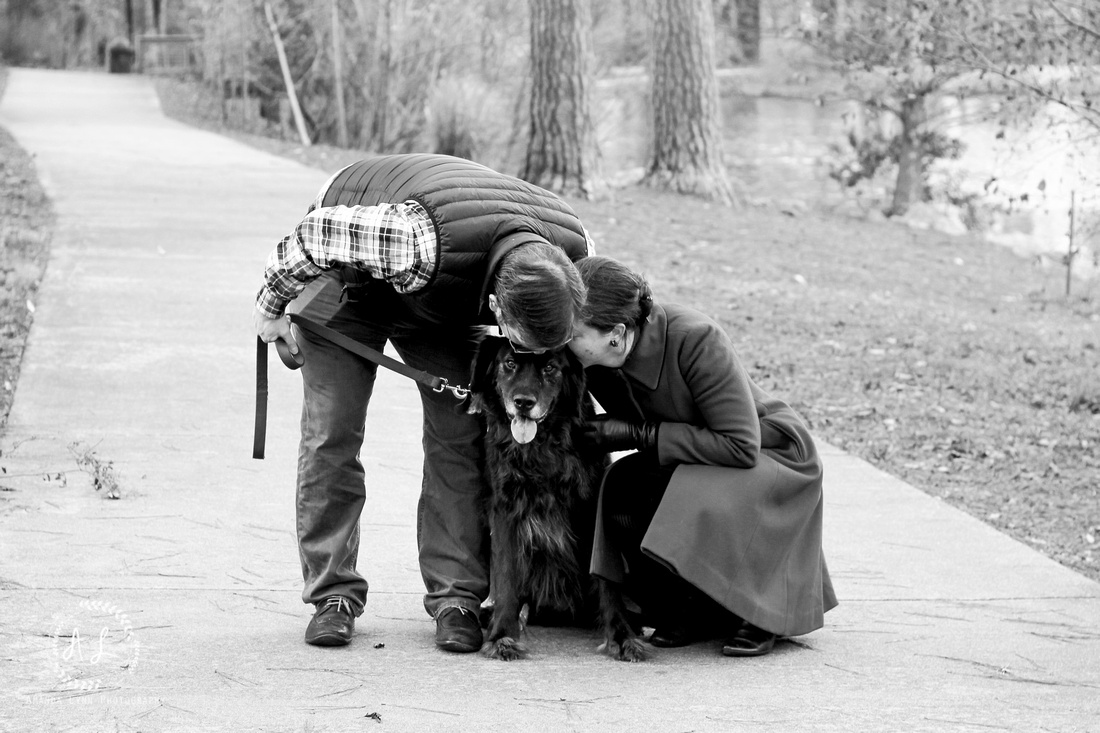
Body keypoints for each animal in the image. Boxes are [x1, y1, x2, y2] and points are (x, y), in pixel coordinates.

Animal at [464, 336, 602, 660]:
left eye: (551, 367)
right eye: (509, 363)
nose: (523, 402)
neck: (540, 448)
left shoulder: (588, 504)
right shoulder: (504, 510)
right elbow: (506, 576)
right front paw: (502, 635)